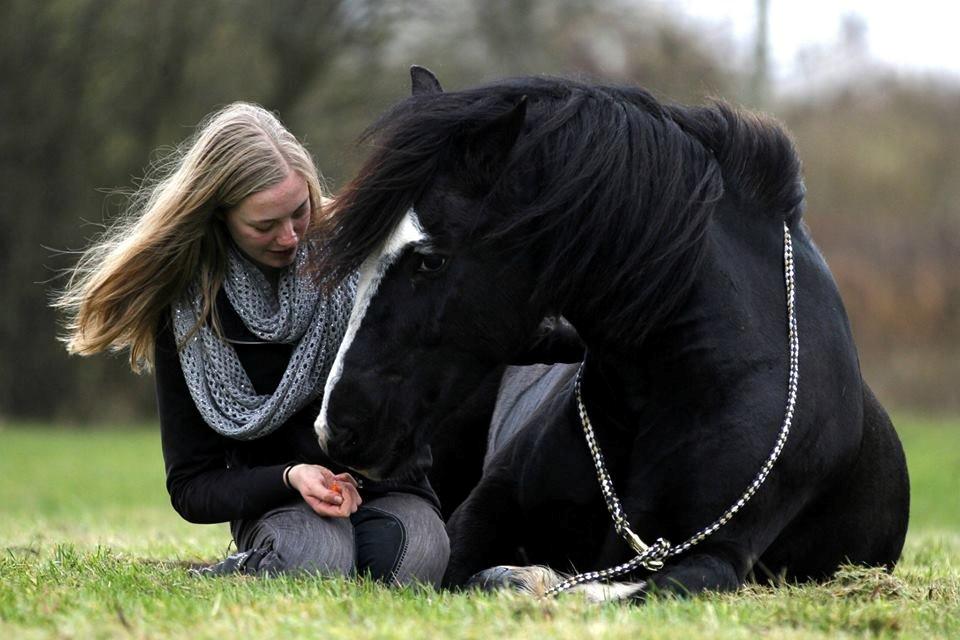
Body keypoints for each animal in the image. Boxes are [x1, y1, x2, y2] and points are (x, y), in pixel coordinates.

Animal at [314, 67, 908, 596]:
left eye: (431, 260)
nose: (337, 427)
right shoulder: (482, 508)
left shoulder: (719, 554)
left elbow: (637, 587)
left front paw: (530, 579)